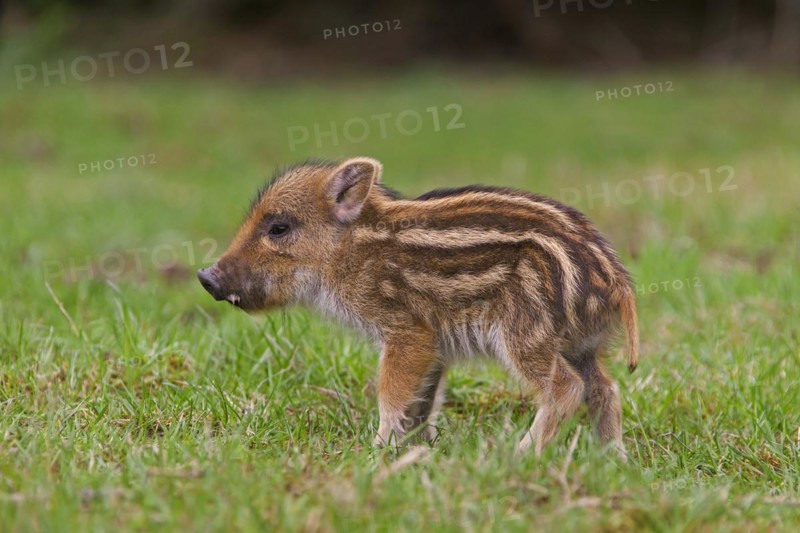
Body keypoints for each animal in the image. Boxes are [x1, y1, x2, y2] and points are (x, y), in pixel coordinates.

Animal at [197, 157, 639, 456]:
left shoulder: (407, 331)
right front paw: (418, 447)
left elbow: (392, 392)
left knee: (567, 388)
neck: (348, 251)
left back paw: (520, 454)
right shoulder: (436, 345)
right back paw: (611, 458)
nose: (206, 276)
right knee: (604, 387)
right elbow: (423, 398)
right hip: (580, 344)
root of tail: (615, 281)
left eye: (279, 228)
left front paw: (376, 450)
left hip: (527, 336)